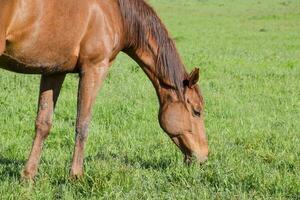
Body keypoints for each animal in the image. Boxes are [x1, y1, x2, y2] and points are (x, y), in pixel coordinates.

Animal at [0, 0, 209, 178]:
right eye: (196, 111)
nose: (204, 156)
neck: (115, 12)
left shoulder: (54, 71)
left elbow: (43, 123)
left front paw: (28, 176)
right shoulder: (95, 69)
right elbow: (82, 123)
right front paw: (76, 176)